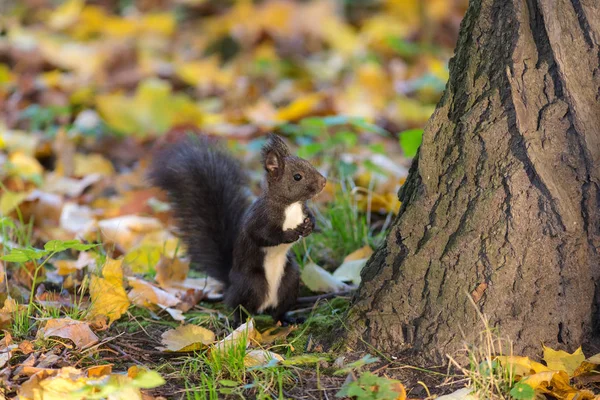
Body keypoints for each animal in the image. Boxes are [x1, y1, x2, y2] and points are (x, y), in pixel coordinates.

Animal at [150, 134, 328, 324]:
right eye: (297, 177)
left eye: (308, 163)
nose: (324, 182)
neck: (291, 205)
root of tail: (230, 283)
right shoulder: (259, 219)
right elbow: (263, 235)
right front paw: (290, 234)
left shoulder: (303, 210)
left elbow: (309, 216)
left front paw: (310, 226)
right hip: (251, 283)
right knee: (239, 306)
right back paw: (240, 322)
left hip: (290, 280)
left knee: (278, 311)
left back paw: (288, 319)